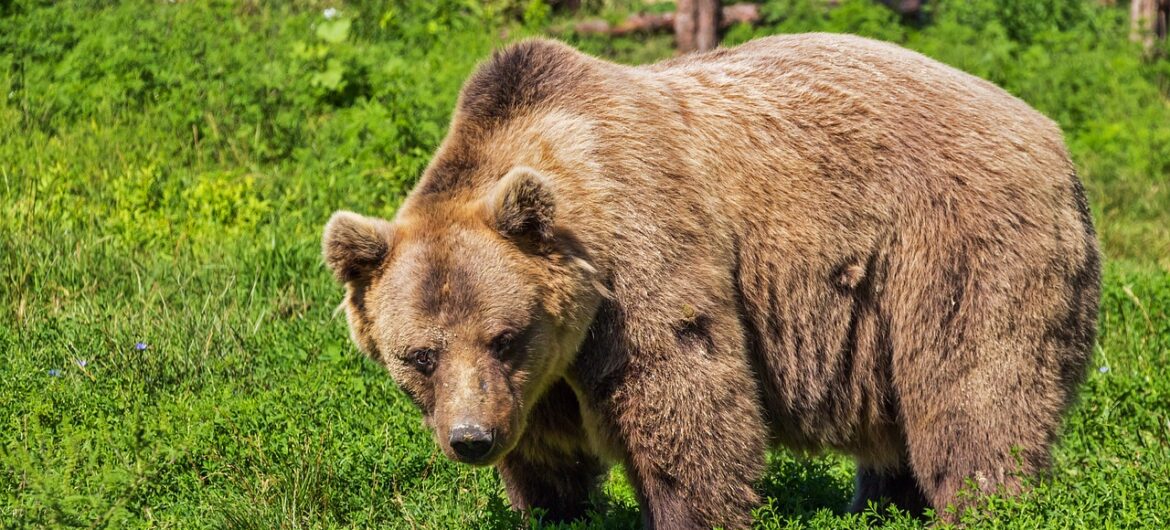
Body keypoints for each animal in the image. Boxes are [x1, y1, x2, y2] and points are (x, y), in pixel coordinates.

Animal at [325, 35, 1099, 526]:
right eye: (419, 355)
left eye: (504, 336)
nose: (471, 438)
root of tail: (1053, 136)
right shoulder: (543, 372)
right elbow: (548, 451)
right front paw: (553, 506)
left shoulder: (641, 255)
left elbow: (685, 396)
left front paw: (687, 509)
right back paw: (882, 501)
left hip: (956, 246)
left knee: (974, 392)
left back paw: (982, 501)